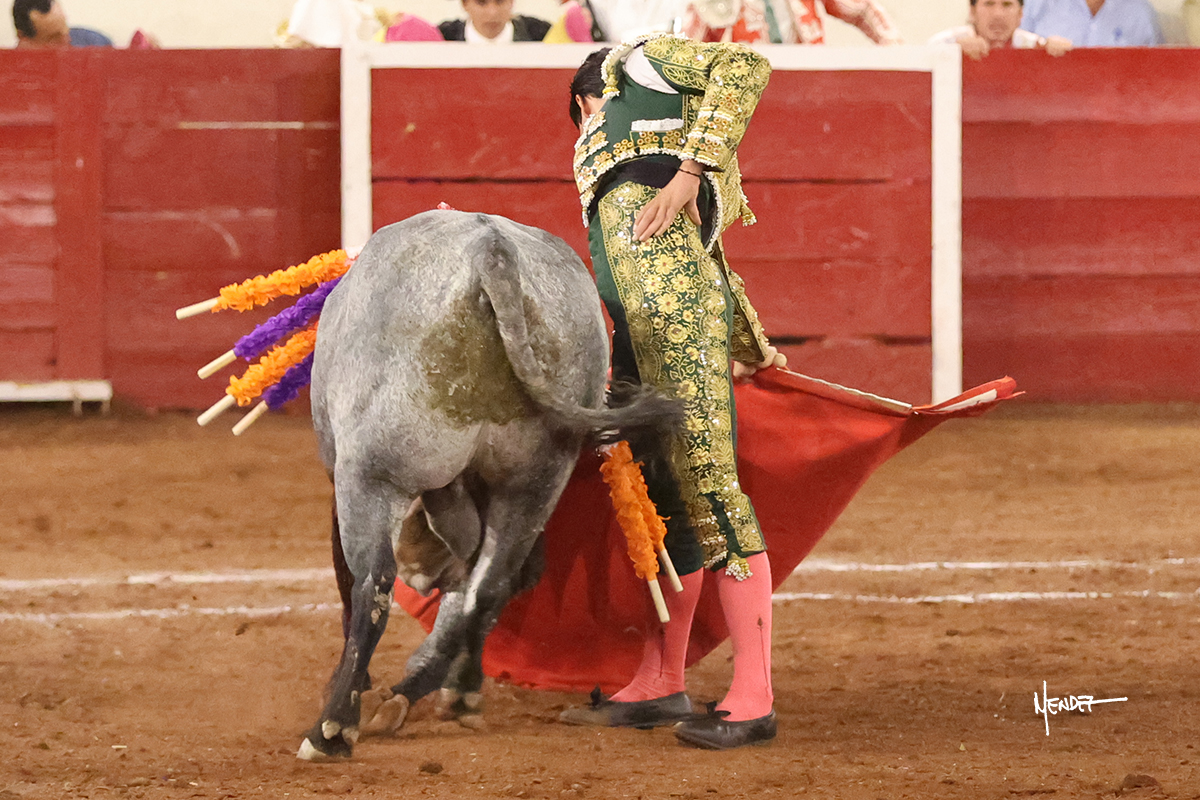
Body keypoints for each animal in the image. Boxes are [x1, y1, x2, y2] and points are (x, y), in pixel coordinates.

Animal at [297, 209, 680, 761]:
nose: (424, 572)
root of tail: (492, 252)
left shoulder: (344, 475)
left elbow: (351, 583)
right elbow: (475, 590)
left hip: (374, 475)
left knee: (374, 585)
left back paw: (332, 729)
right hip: (536, 480)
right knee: (490, 585)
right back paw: (453, 694)